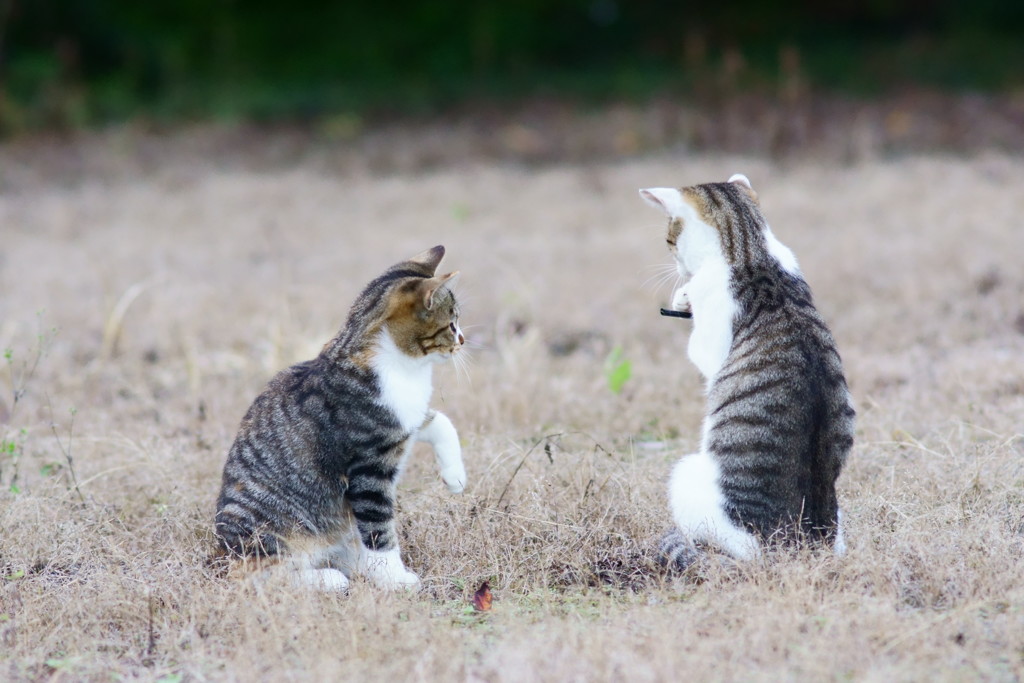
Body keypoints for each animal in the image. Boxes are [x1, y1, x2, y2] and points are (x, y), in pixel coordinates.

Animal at [218, 246, 468, 593]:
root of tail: (221, 551)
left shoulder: (408, 420)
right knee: (255, 576)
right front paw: (394, 577)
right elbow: (379, 528)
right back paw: (329, 578)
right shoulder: (369, 467)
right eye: (452, 323)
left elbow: (441, 421)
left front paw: (455, 476)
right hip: (276, 535)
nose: (464, 340)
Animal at [638, 176, 856, 573]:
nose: (677, 270)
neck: (751, 250)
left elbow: (699, 351)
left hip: (685, 474)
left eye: (669, 241)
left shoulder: (709, 342)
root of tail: (796, 547)